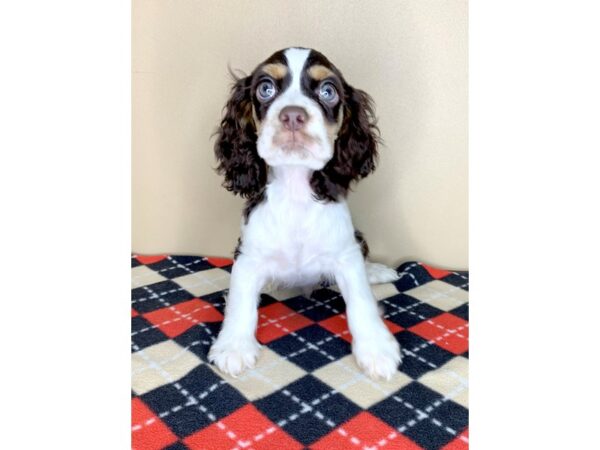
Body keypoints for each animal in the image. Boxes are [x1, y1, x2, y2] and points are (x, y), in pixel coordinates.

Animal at [209, 47, 400, 380]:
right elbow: (241, 301)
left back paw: (376, 271)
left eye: (328, 91)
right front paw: (233, 346)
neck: (295, 191)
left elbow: (361, 301)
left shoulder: (345, 253)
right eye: (265, 88)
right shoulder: (248, 255)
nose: (293, 115)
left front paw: (377, 349)